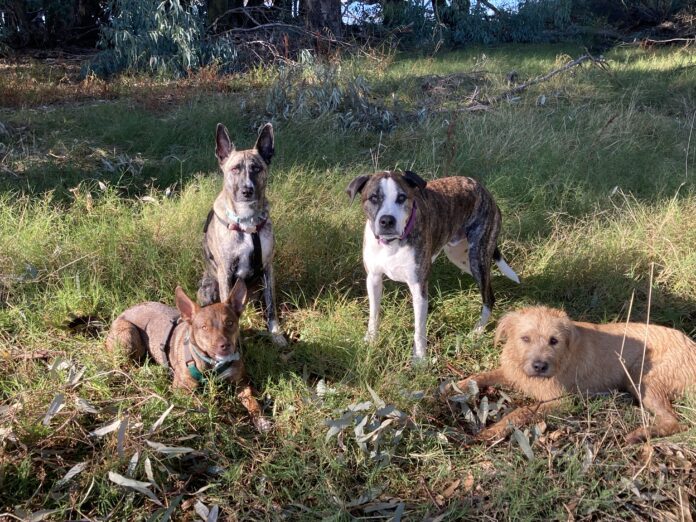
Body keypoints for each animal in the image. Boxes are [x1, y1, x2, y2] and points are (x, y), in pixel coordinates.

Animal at [106, 280, 272, 430]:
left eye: (230, 323)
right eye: (204, 327)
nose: (225, 346)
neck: (213, 363)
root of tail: (123, 313)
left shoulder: (241, 382)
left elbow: (253, 401)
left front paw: (261, 420)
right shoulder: (182, 389)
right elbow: (204, 404)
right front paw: (226, 417)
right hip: (129, 334)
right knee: (124, 364)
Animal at [198, 123, 288, 346]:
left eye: (256, 168)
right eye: (235, 169)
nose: (247, 190)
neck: (247, 222)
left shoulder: (267, 268)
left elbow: (271, 306)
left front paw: (275, 333)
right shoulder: (226, 272)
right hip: (208, 288)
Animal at [346, 169, 520, 360]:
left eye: (402, 197)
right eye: (373, 198)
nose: (387, 221)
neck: (392, 244)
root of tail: (481, 188)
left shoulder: (419, 287)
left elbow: (419, 329)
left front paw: (420, 359)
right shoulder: (374, 279)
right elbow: (374, 314)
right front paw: (371, 340)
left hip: (477, 256)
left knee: (488, 296)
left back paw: (477, 331)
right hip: (461, 257)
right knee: (488, 279)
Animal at [446, 304, 696, 442]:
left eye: (554, 341)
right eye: (525, 338)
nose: (539, 366)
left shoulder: (561, 400)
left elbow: (522, 410)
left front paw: (493, 430)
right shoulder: (512, 372)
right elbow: (480, 376)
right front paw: (452, 387)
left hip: (642, 378)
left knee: (674, 422)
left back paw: (640, 434)